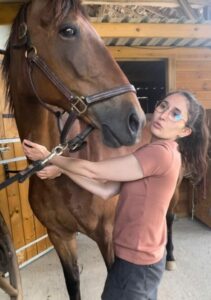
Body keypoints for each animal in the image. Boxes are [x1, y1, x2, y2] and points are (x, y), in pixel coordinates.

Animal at [1, 1, 146, 298]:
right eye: (68, 30)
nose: (134, 120)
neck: (61, 172)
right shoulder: (60, 236)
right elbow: (73, 283)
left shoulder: (107, 235)